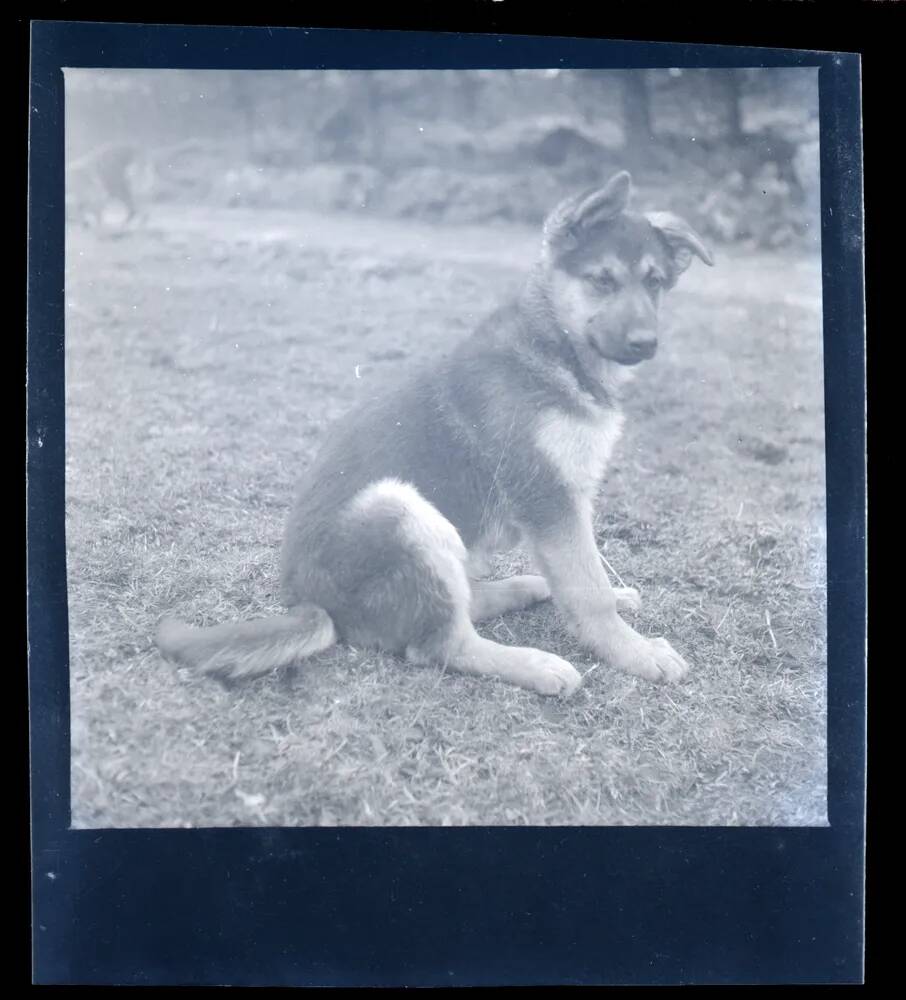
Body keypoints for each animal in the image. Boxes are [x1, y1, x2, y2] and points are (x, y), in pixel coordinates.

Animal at [157, 170, 712, 696]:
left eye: (655, 283)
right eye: (602, 280)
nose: (645, 343)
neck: (554, 345)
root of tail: (310, 604)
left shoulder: (569, 501)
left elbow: (585, 571)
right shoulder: (549, 498)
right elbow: (588, 587)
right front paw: (634, 652)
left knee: (468, 598)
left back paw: (529, 588)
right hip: (400, 509)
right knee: (442, 642)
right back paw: (535, 664)